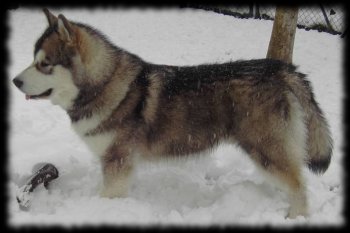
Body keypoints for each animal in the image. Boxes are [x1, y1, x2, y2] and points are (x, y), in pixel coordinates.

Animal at [12, 7, 332, 218]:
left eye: (44, 64)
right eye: (33, 59)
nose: (14, 81)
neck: (103, 82)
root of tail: (281, 69)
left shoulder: (117, 162)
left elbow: (109, 195)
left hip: (265, 149)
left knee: (299, 185)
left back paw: (295, 216)